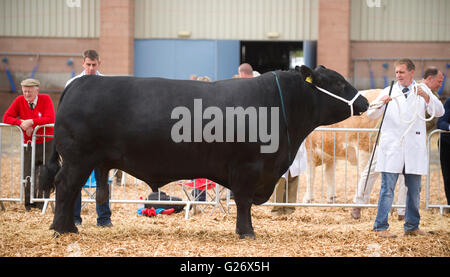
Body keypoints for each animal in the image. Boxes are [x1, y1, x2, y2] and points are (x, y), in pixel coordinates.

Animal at [40, 64, 368, 237]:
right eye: (338, 82)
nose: (364, 101)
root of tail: (79, 83)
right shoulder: (247, 167)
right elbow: (244, 202)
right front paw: (246, 232)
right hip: (78, 158)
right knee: (65, 186)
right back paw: (61, 229)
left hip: (86, 160)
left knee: (70, 189)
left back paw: (66, 228)